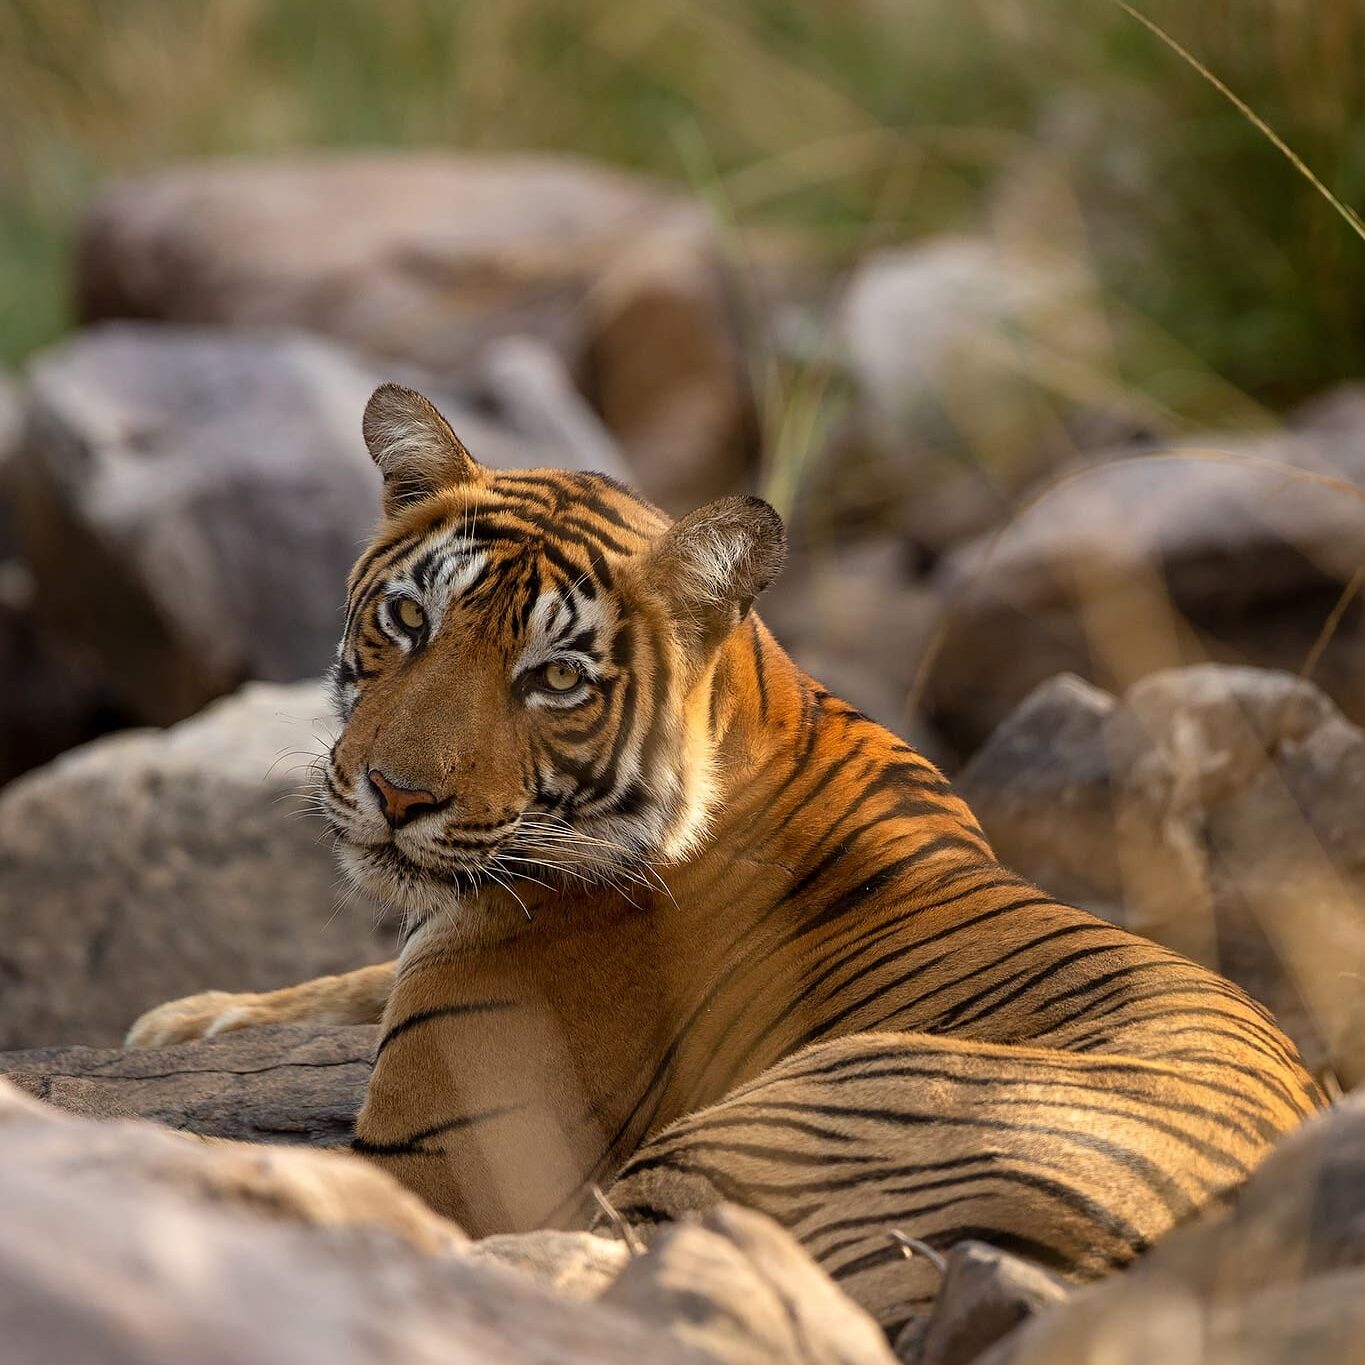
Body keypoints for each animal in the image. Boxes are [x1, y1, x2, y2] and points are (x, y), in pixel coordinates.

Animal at [128, 382, 1321, 1332]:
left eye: (555, 678)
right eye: (408, 619)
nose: (396, 796)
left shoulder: (452, 1162)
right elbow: (346, 979)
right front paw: (187, 1020)